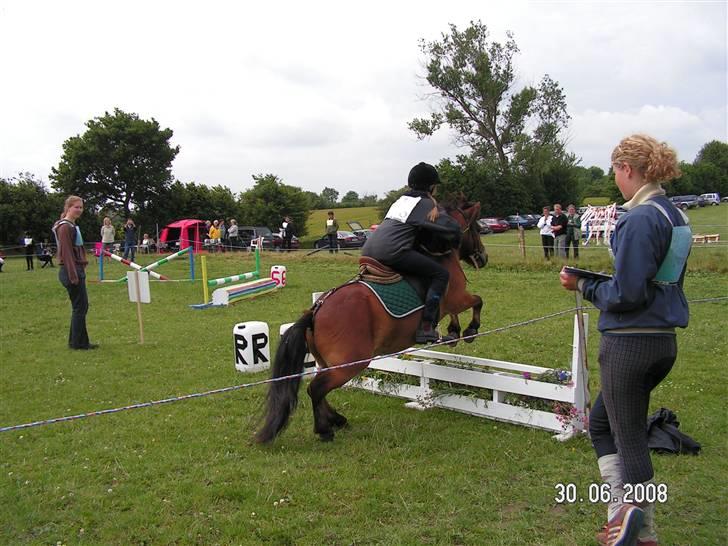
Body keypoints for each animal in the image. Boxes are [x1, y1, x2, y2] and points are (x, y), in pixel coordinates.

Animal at [258, 196, 490, 442]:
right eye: (476, 228)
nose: (483, 257)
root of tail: (316, 311)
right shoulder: (456, 297)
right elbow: (477, 301)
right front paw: (470, 330)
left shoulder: (451, 302)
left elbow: (459, 311)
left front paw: (454, 332)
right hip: (350, 363)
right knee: (317, 388)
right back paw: (325, 428)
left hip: (329, 362)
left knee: (318, 386)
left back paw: (336, 419)